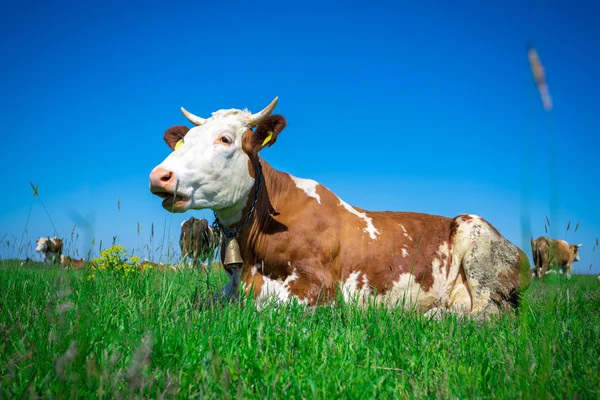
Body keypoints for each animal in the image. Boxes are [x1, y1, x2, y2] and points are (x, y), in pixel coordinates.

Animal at [149, 97, 528, 316]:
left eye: (225, 139)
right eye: (184, 140)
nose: (159, 176)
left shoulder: (319, 288)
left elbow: (265, 304)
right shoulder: (228, 287)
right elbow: (200, 303)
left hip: (479, 250)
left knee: (487, 315)